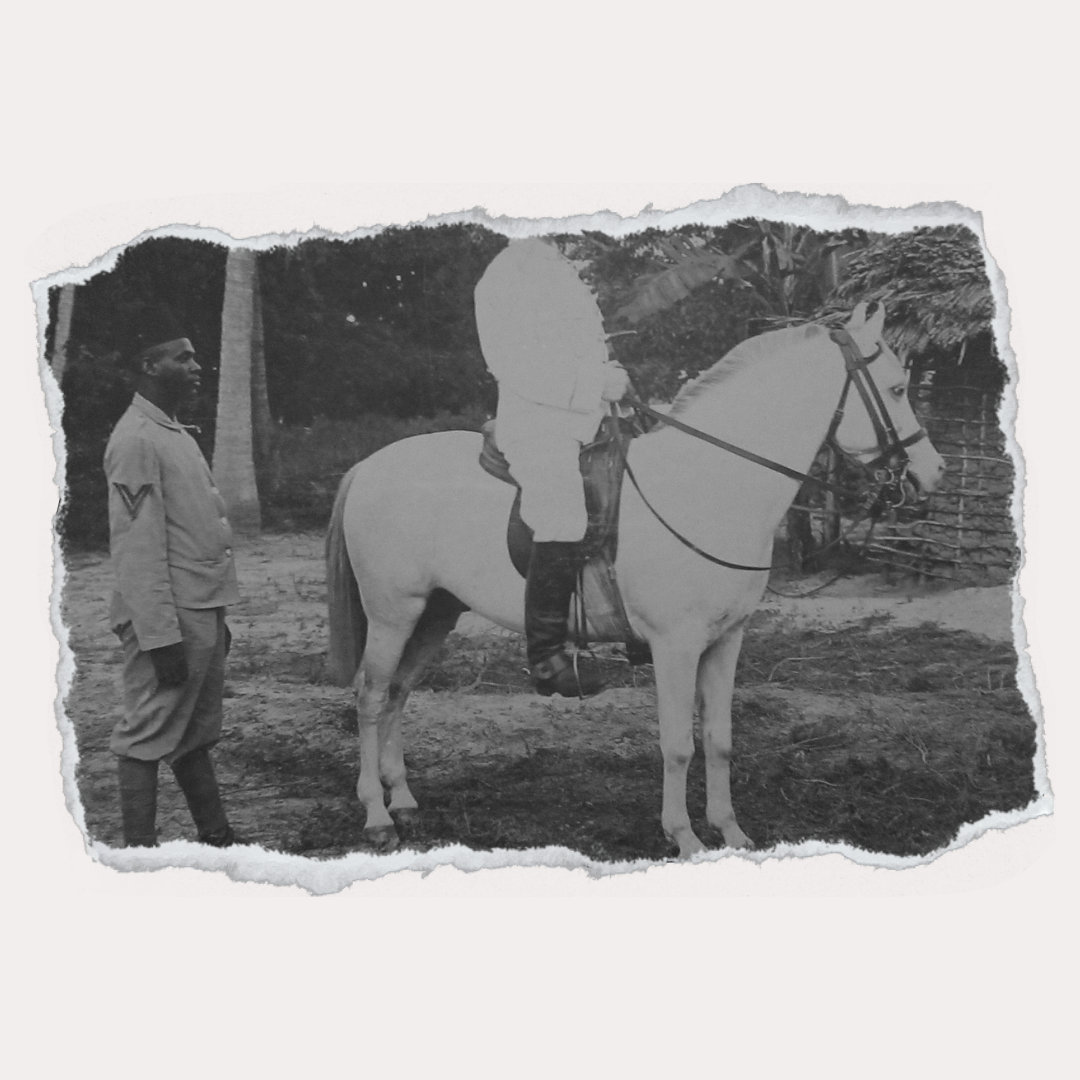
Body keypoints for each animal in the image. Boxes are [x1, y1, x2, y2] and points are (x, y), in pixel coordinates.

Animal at [324, 302, 945, 858]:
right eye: (896, 389)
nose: (932, 473)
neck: (711, 480)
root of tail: (368, 466)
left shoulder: (726, 641)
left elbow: (719, 740)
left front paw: (731, 831)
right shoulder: (676, 646)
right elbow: (678, 745)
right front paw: (685, 837)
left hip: (436, 613)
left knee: (399, 693)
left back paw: (403, 799)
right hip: (393, 615)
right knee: (371, 696)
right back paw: (377, 816)